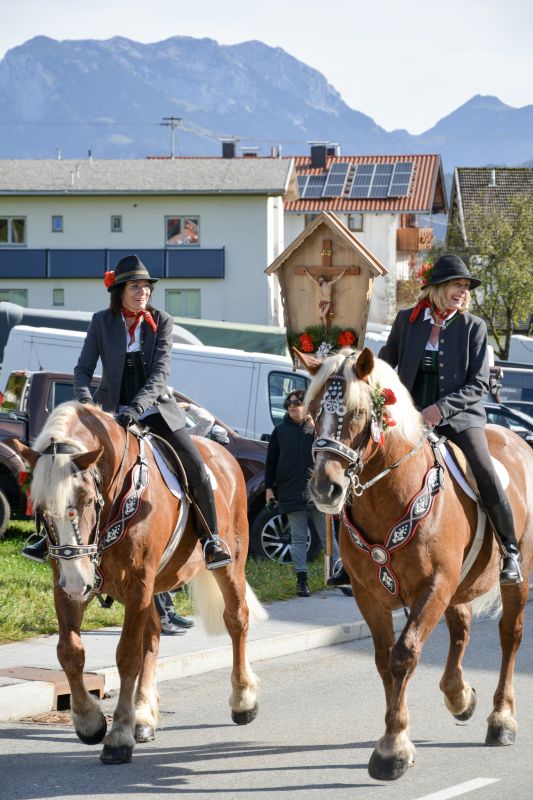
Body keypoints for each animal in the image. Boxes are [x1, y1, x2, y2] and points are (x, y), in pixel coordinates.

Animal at [14, 401, 265, 764]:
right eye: (41, 510)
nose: (77, 583)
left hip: (230, 563)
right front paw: (89, 721)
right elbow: (70, 652)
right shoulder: (66, 583)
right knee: (154, 636)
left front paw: (118, 734)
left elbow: (127, 655)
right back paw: (144, 717)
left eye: (87, 501)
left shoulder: (137, 585)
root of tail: (223, 452)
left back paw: (243, 699)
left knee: (236, 619)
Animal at [299, 346, 533, 782]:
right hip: (458, 585)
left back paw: (501, 719)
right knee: (461, 627)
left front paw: (391, 750)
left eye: (358, 413)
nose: (326, 488)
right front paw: (398, 738)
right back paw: (459, 696)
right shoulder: (369, 595)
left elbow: (404, 654)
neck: (390, 495)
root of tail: (517, 439)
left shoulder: (434, 586)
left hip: (516, 576)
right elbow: (383, 659)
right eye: (312, 411)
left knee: (510, 634)